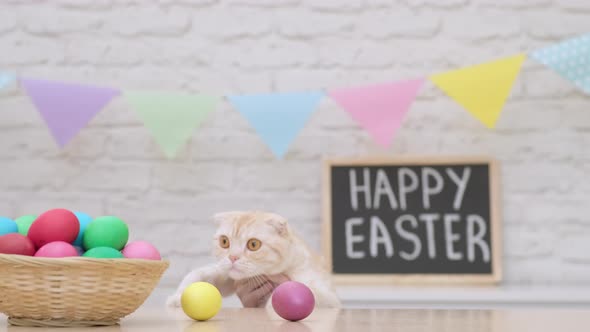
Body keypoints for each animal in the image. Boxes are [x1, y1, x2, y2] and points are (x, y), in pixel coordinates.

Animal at [166, 211, 342, 308]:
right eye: (224, 242)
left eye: (253, 244)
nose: (233, 257)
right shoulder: (228, 275)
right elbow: (198, 273)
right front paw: (178, 296)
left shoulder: (329, 297)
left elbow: (309, 293)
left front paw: (273, 307)